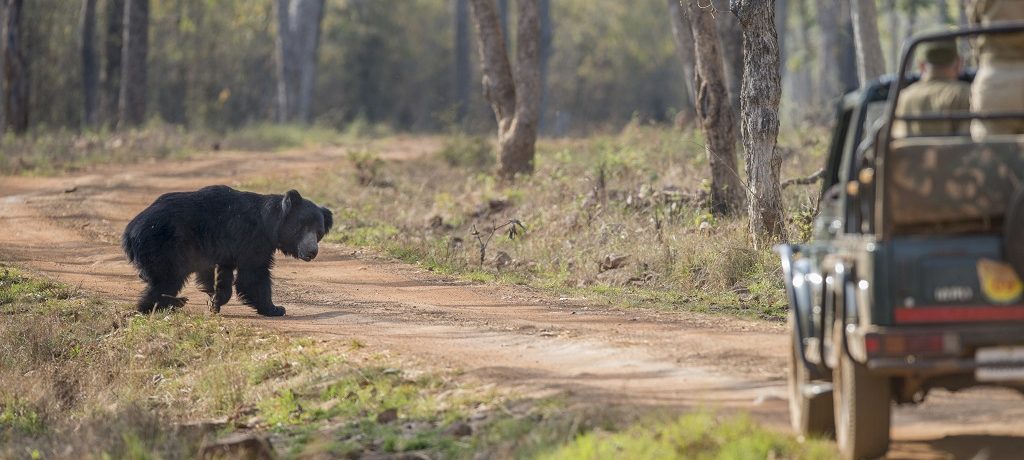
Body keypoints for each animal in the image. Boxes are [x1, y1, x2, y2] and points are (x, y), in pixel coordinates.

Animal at [121, 183, 331, 315]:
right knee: (167, 279)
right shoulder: (252, 239)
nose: (312, 251)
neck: (271, 223)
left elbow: (224, 275)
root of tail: (129, 233)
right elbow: (253, 275)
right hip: (164, 245)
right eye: (301, 228)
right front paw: (275, 309)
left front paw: (214, 301)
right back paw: (160, 305)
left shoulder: (228, 249)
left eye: (319, 232)